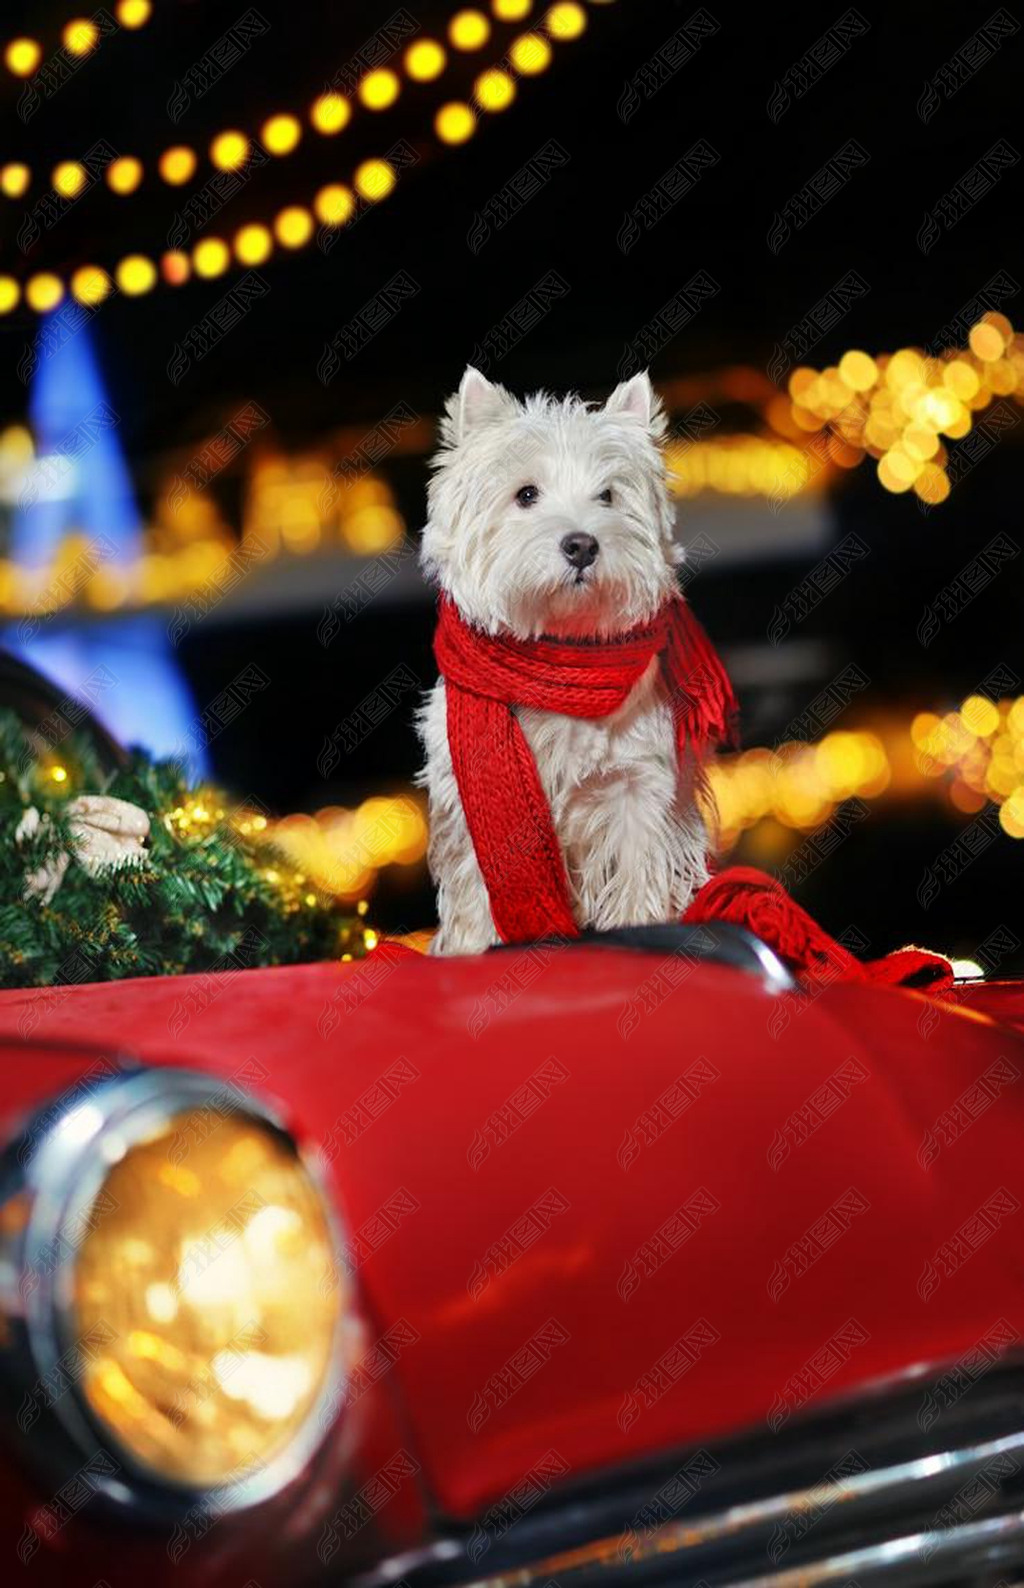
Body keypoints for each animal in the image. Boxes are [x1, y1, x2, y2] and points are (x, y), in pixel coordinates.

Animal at [415, 363, 711, 946]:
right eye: (526, 494)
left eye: (608, 496)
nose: (582, 545)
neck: (559, 655)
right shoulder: (472, 810)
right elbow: (476, 894)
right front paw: (473, 948)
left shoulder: (636, 793)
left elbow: (639, 875)